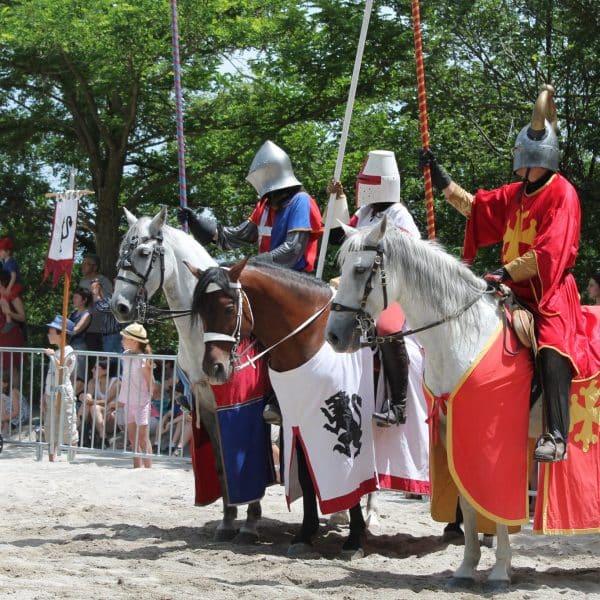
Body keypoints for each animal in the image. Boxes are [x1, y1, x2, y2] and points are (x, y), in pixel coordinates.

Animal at [112, 207, 264, 544]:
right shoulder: (205, 403)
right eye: (121, 253)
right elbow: (222, 461)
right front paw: (228, 521)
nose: (119, 306)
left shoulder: (244, 404)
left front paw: (250, 523)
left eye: (143, 253)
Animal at [189, 258, 376, 556]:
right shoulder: (296, 422)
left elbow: (348, 475)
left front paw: (355, 539)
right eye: (201, 312)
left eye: (228, 308)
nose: (214, 368)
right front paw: (305, 534)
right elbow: (307, 477)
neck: (311, 338)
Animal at [324, 218, 520, 588]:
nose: (333, 335)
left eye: (361, 269)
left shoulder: (493, 437)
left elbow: (494, 494)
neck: (461, 335)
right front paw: (467, 567)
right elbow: (468, 498)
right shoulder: (450, 431)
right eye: (341, 267)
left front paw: (500, 570)